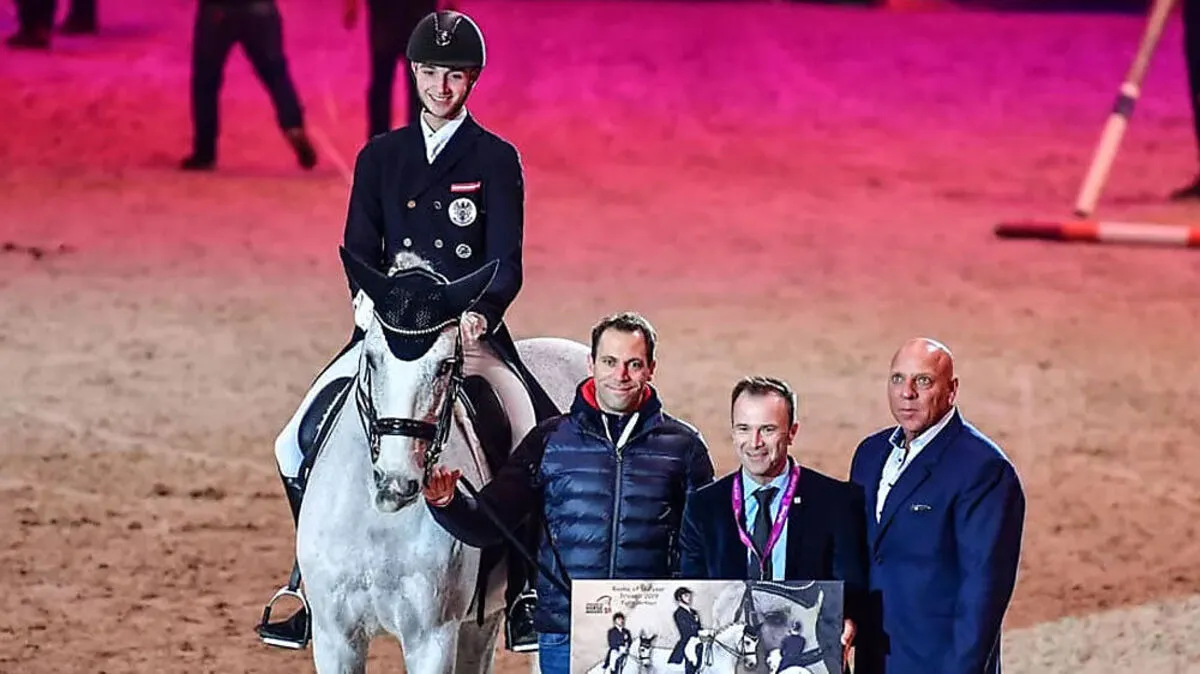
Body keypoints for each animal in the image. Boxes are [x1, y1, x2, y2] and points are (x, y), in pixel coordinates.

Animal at [294, 249, 590, 673]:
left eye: (446, 365)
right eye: (372, 359)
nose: (397, 481)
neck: (378, 523)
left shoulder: (431, 637)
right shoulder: (335, 637)